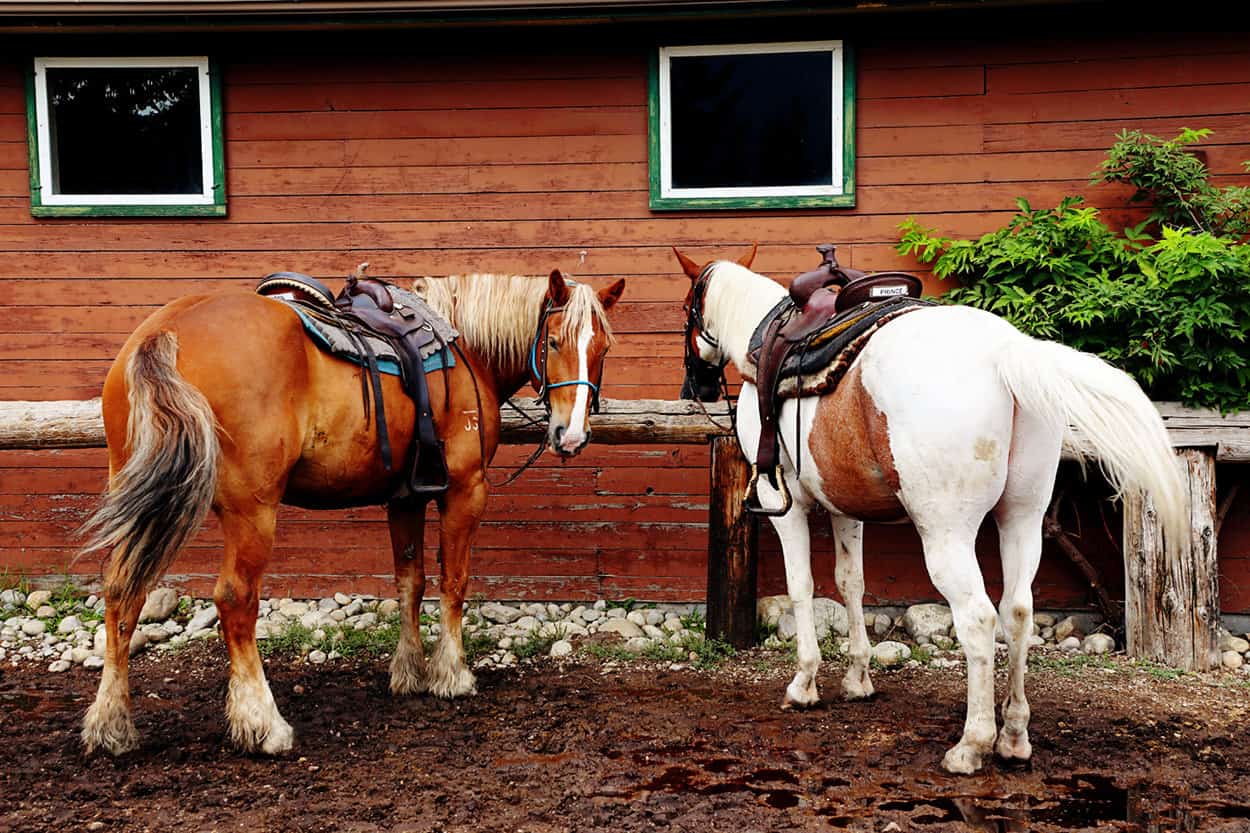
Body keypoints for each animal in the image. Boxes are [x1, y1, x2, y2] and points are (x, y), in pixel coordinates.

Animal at [79, 267, 625, 750]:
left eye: (602, 348)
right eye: (553, 343)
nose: (571, 435)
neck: (463, 348)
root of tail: (166, 332)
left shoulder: (405, 496)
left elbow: (410, 582)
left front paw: (409, 672)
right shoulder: (465, 489)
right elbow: (453, 581)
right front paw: (452, 674)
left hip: (146, 502)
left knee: (122, 593)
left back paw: (112, 725)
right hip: (251, 512)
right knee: (235, 600)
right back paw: (263, 724)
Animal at [680, 246, 1185, 770]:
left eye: (688, 309)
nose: (696, 386)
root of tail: (1006, 354)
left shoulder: (785, 505)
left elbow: (802, 587)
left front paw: (804, 684)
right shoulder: (846, 508)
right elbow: (851, 583)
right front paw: (858, 679)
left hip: (946, 534)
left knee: (979, 619)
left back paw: (972, 744)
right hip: (1022, 518)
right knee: (1017, 611)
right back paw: (1013, 736)